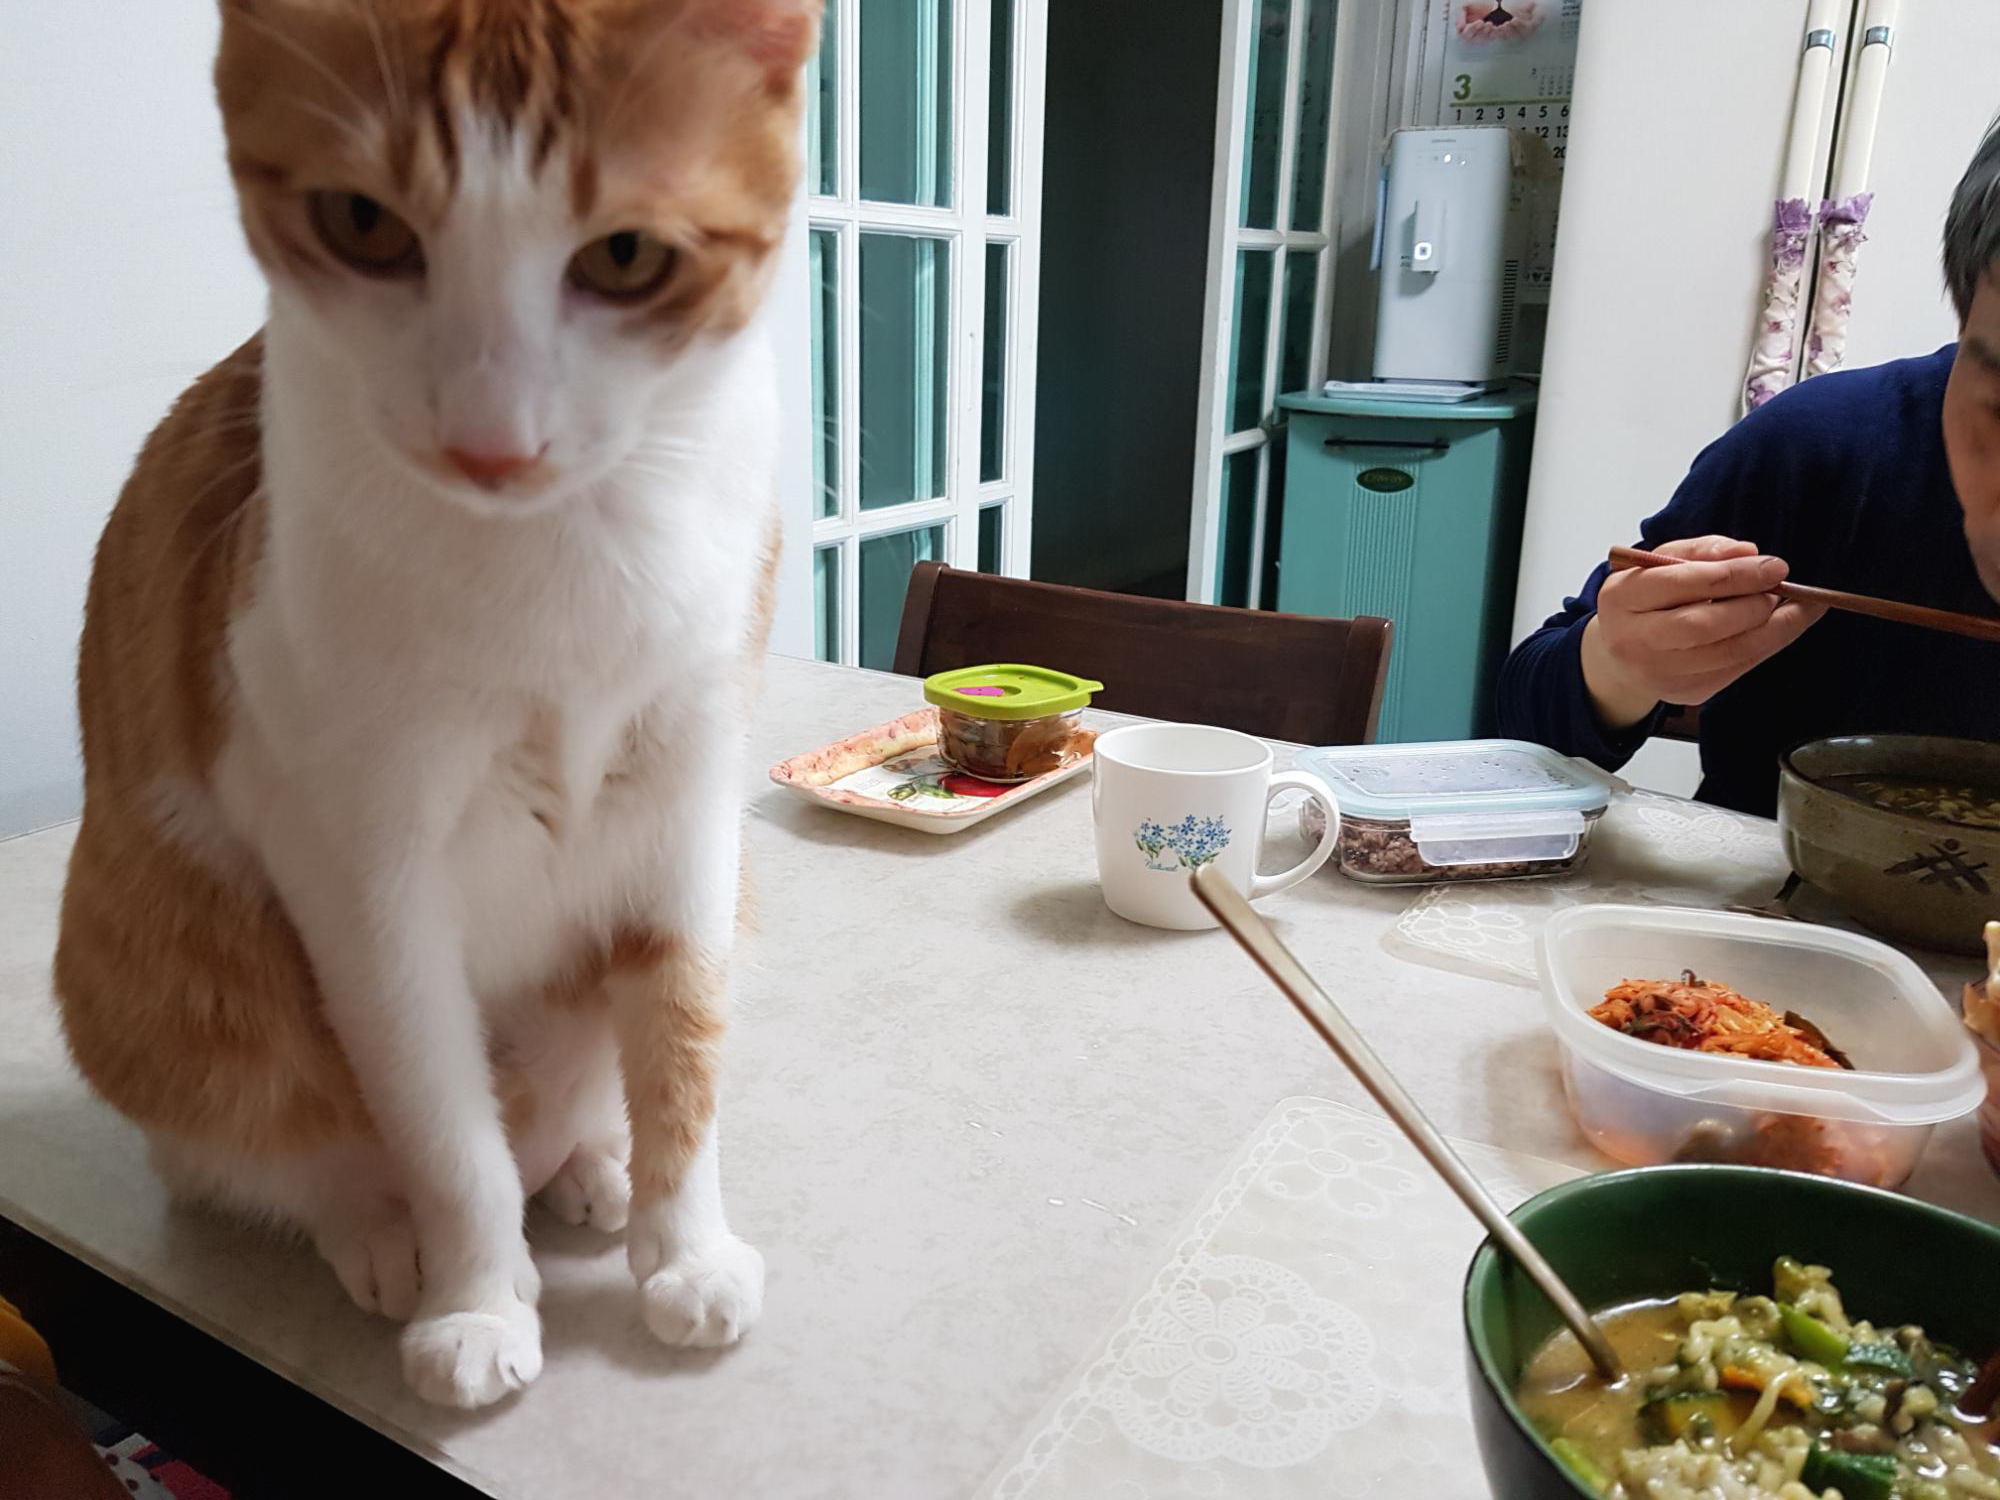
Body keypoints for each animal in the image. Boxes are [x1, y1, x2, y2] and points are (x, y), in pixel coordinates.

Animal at [52, 0, 820, 1409]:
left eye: (626, 255)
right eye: (363, 224)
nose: (491, 440)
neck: (565, 557)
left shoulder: (692, 804)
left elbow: (683, 1037)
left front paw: (684, 1249)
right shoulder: (361, 873)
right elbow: (436, 1116)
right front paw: (476, 1303)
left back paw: (590, 1167)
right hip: (155, 973)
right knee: (276, 1142)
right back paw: (383, 1236)